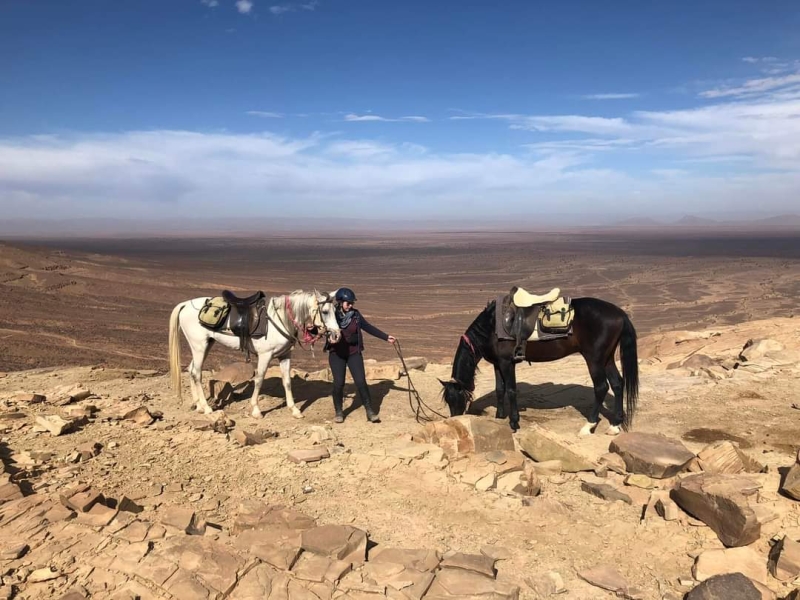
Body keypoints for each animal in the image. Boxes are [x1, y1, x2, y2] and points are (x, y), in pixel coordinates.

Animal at [170, 290, 340, 418]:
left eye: (335, 311)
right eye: (325, 312)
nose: (337, 335)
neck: (281, 319)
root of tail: (185, 304)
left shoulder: (285, 356)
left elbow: (287, 382)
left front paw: (295, 410)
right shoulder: (265, 355)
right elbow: (259, 380)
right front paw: (256, 410)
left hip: (205, 345)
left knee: (191, 370)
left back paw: (198, 405)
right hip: (199, 346)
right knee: (197, 373)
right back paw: (206, 408)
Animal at [438, 288, 636, 434]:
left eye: (455, 398)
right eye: (447, 400)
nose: (454, 420)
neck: (491, 327)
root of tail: (620, 314)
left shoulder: (507, 363)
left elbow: (511, 390)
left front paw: (514, 423)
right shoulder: (497, 364)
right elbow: (500, 389)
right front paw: (499, 417)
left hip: (594, 359)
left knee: (601, 387)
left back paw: (588, 426)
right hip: (607, 358)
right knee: (618, 384)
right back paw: (615, 425)